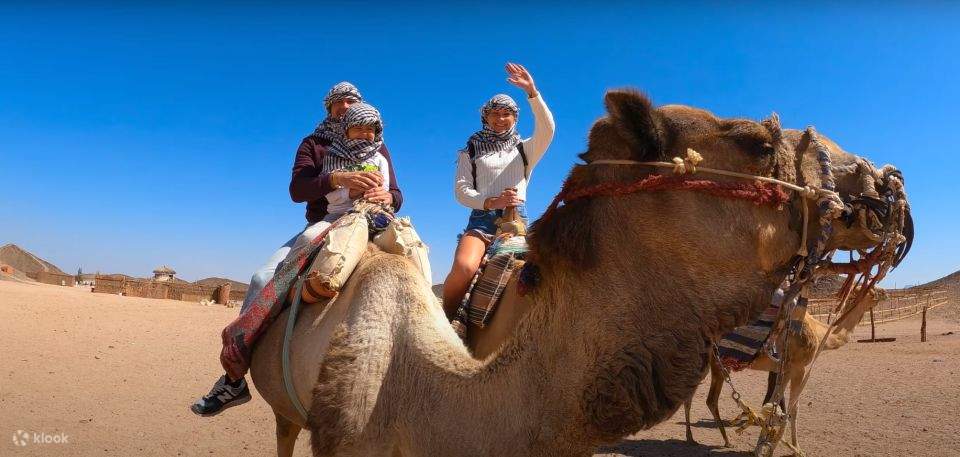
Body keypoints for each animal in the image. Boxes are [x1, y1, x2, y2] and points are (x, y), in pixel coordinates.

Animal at [682, 286, 883, 454]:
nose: (884, 294)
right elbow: (794, 408)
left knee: (691, 397)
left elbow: (774, 402)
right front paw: (795, 448)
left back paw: (693, 439)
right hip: (716, 363)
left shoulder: (784, 370)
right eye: (873, 292)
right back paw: (725, 441)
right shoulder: (798, 368)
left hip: (706, 362)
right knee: (710, 399)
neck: (820, 334)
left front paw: (765, 441)